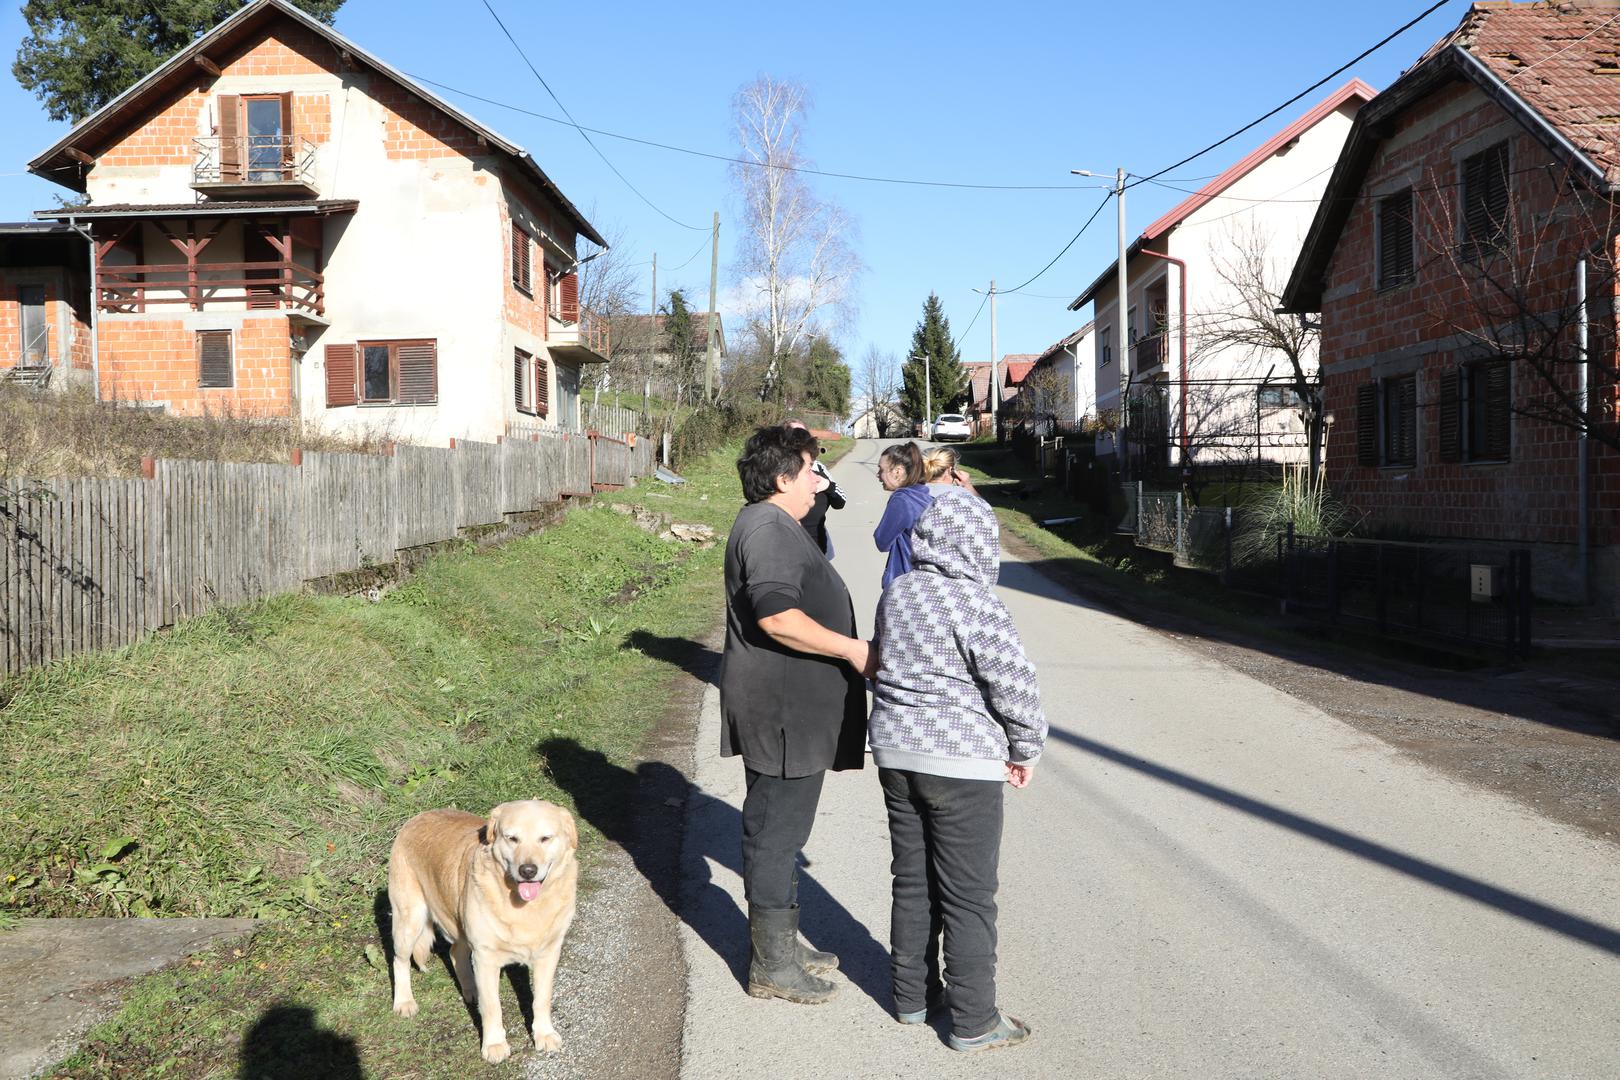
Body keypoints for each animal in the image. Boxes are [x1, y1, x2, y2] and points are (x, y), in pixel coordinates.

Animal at [385, 803, 576, 1062]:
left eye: (545, 838)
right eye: (512, 838)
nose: (527, 870)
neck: (525, 906)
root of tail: (417, 816)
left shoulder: (548, 953)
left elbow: (542, 999)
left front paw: (544, 1034)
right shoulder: (486, 957)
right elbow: (492, 1006)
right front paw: (494, 1044)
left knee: (455, 952)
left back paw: (470, 989)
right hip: (409, 920)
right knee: (399, 960)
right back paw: (404, 1001)